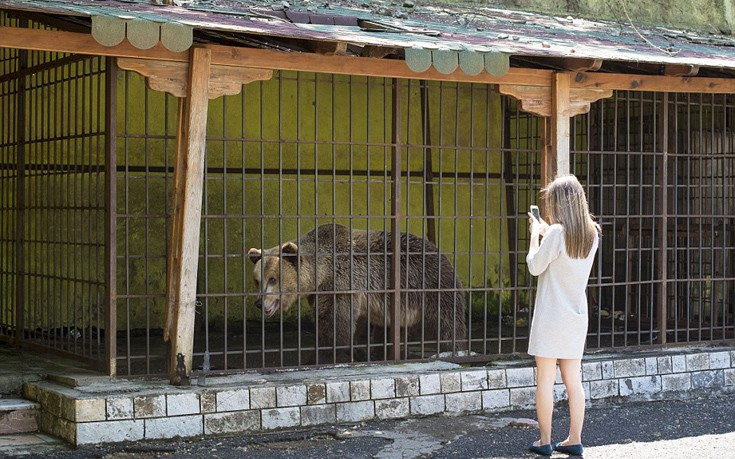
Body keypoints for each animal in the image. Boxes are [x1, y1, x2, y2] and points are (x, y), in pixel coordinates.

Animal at [247, 224, 466, 362]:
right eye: (258, 280)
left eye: (273, 279)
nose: (259, 303)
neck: (322, 273)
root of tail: (440, 252)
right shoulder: (324, 293)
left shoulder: (342, 284)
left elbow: (336, 327)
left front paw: (324, 355)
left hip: (430, 284)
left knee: (446, 321)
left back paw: (453, 350)